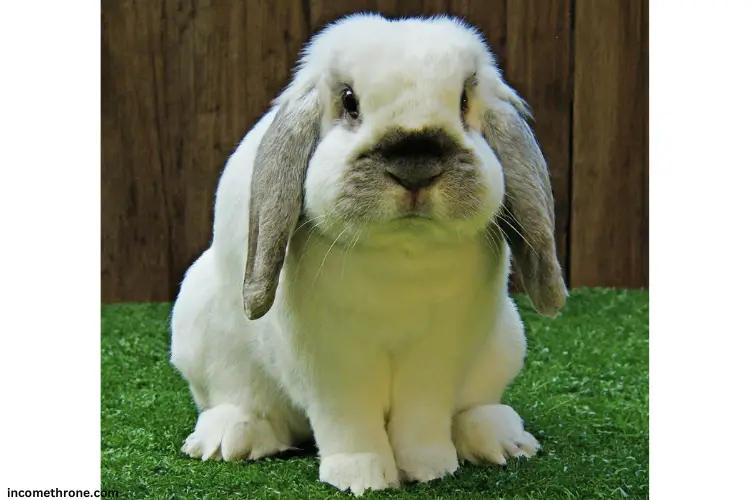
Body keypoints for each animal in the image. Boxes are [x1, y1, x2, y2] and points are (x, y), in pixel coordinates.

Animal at [170, 11, 568, 496]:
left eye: (463, 101)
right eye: (348, 101)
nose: (415, 166)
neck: (401, 253)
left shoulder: (439, 354)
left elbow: (424, 415)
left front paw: (431, 468)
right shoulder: (331, 361)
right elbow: (348, 421)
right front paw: (361, 476)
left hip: (506, 341)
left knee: (474, 405)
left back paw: (500, 439)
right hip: (202, 331)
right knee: (240, 400)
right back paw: (230, 439)